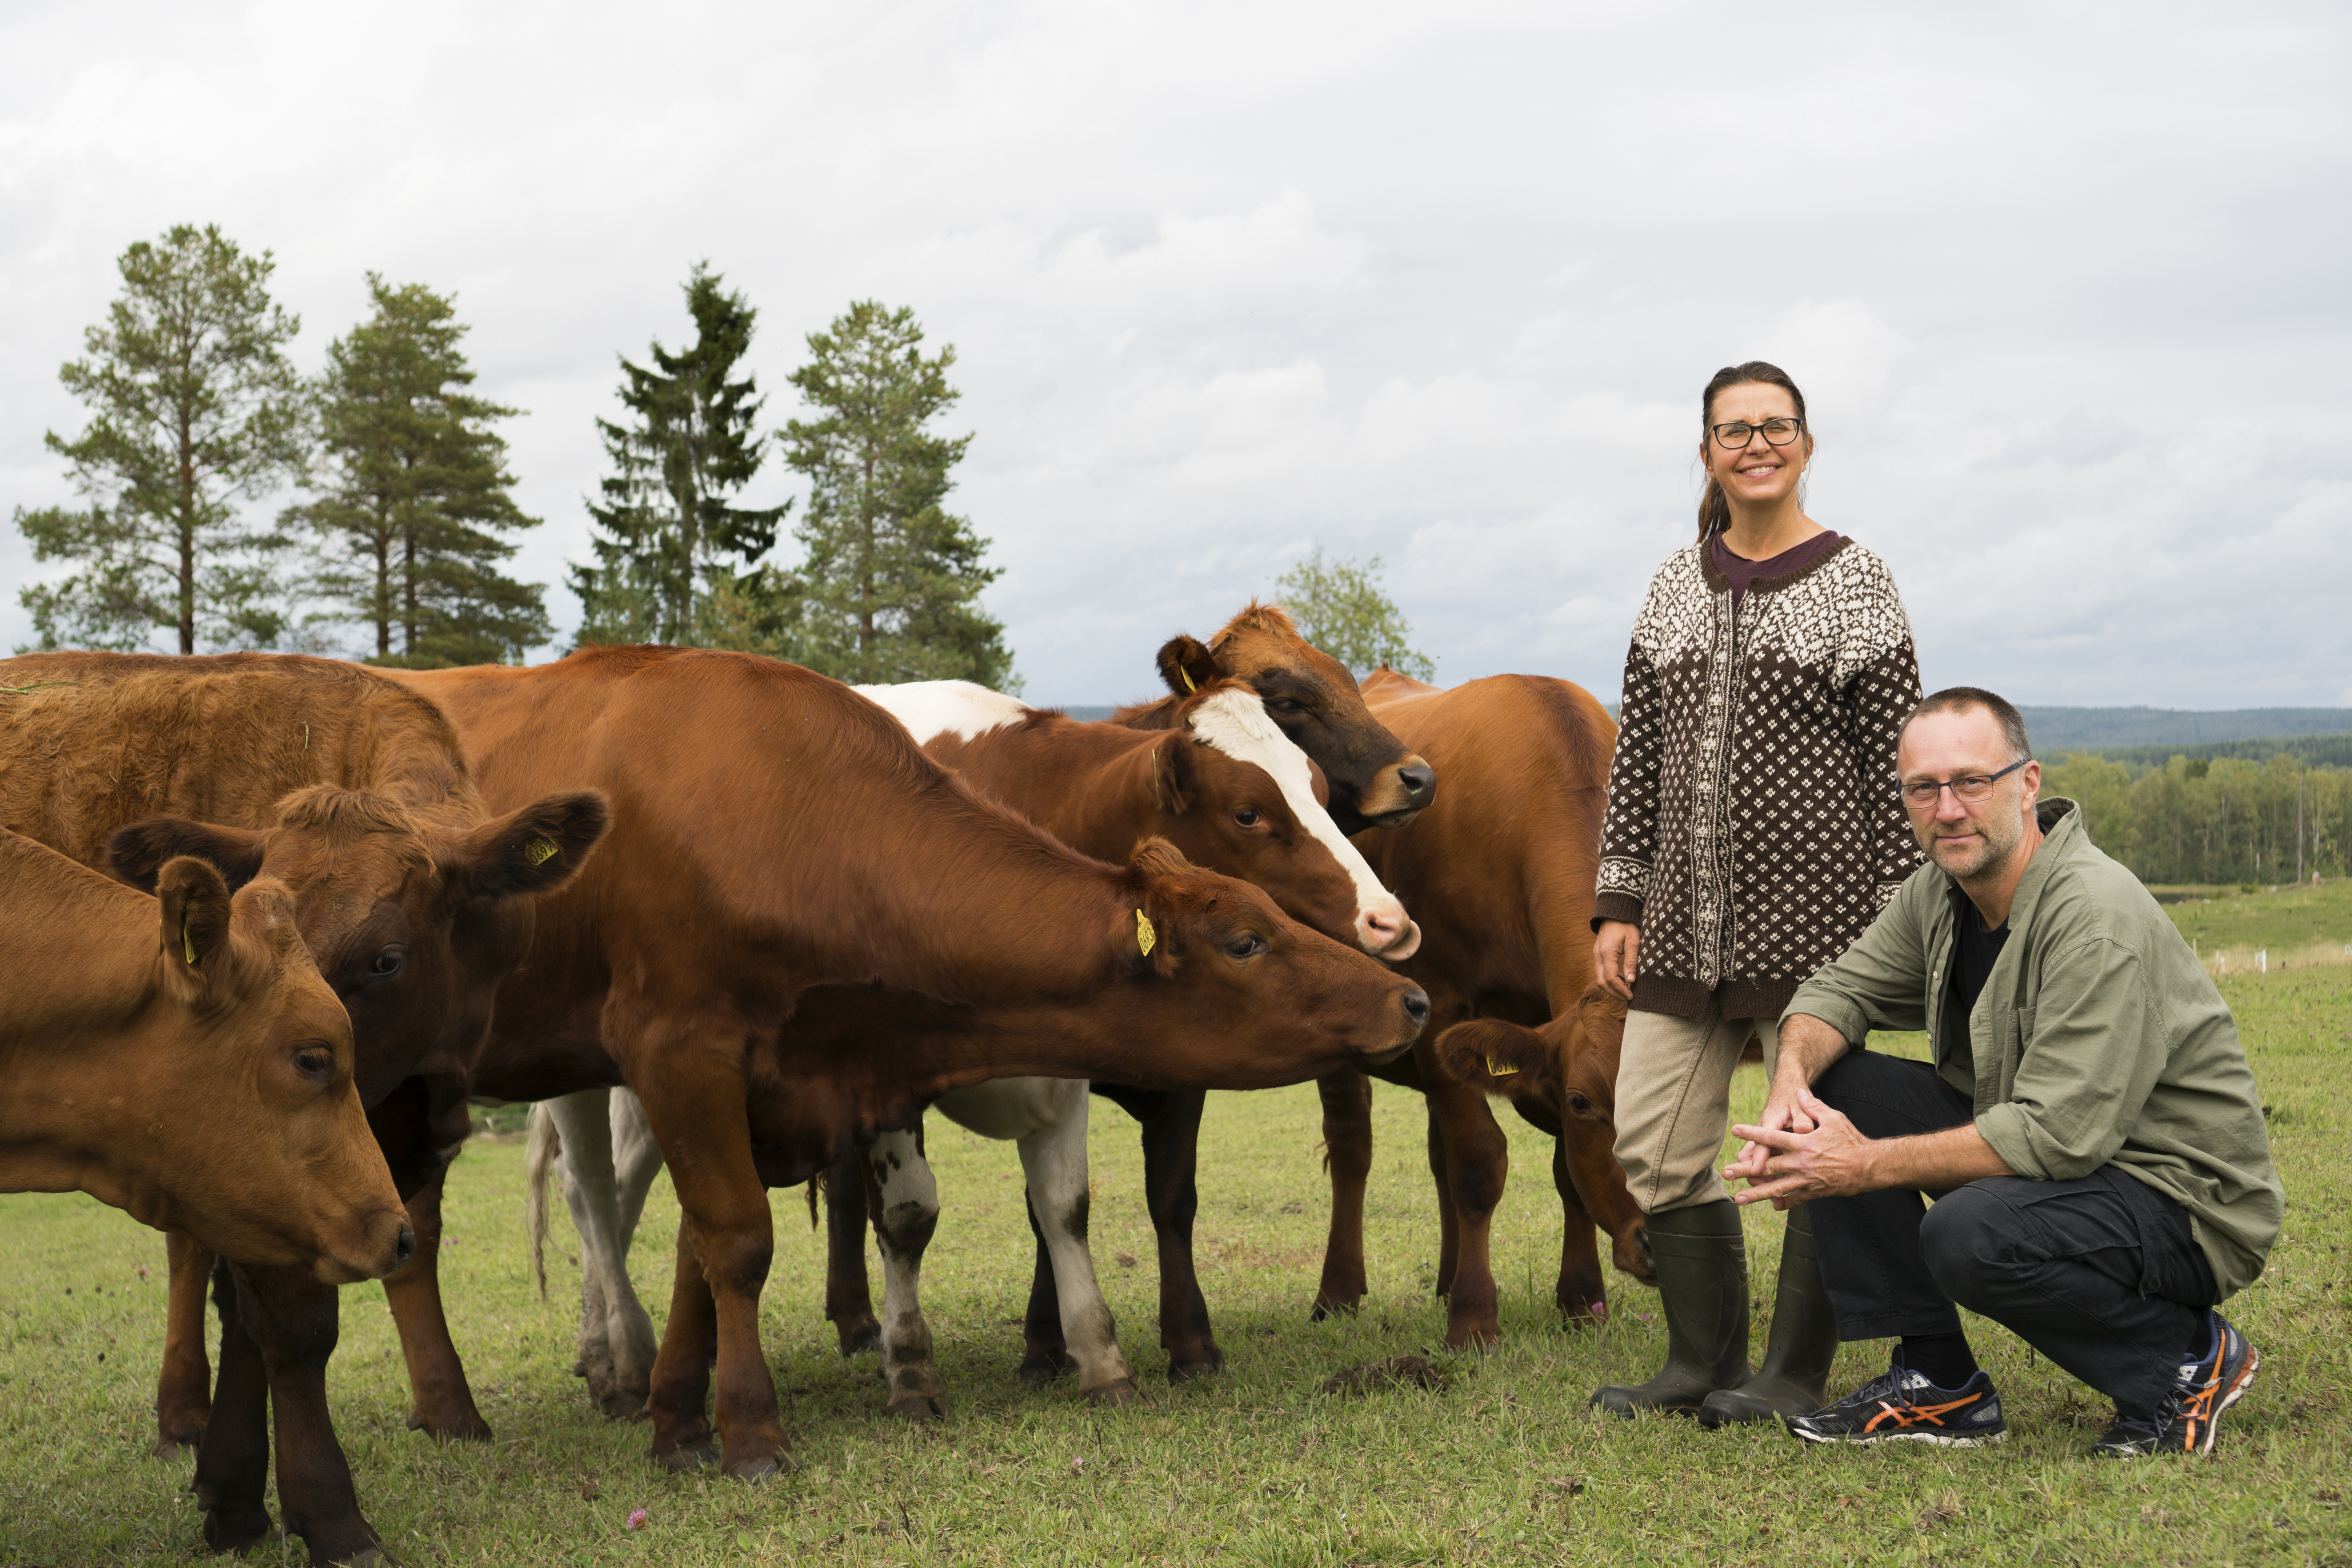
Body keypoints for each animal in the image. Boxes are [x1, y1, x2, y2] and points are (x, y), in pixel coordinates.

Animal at [400, 644, 1430, 1476]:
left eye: (1318, 788)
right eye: (1251, 812)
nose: (1396, 939)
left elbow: (1074, 1205)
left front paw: (1100, 1353)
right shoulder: (739, 1056)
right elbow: (872, 1218)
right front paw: (888, 1384)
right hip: (566, 1079)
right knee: (592, 1199)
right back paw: (590, 1366)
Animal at [1308, 668, 1656, 1345]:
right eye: (1586, 1102)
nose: (1661, 1242)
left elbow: (1564, 1173)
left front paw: (1582, 1299)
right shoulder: (1441, 1010)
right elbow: (1478, 1164)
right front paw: (1473, 1319)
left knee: (1435, 1153)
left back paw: (1445, 1281)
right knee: (1353, 1149)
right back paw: (1338, 1292)